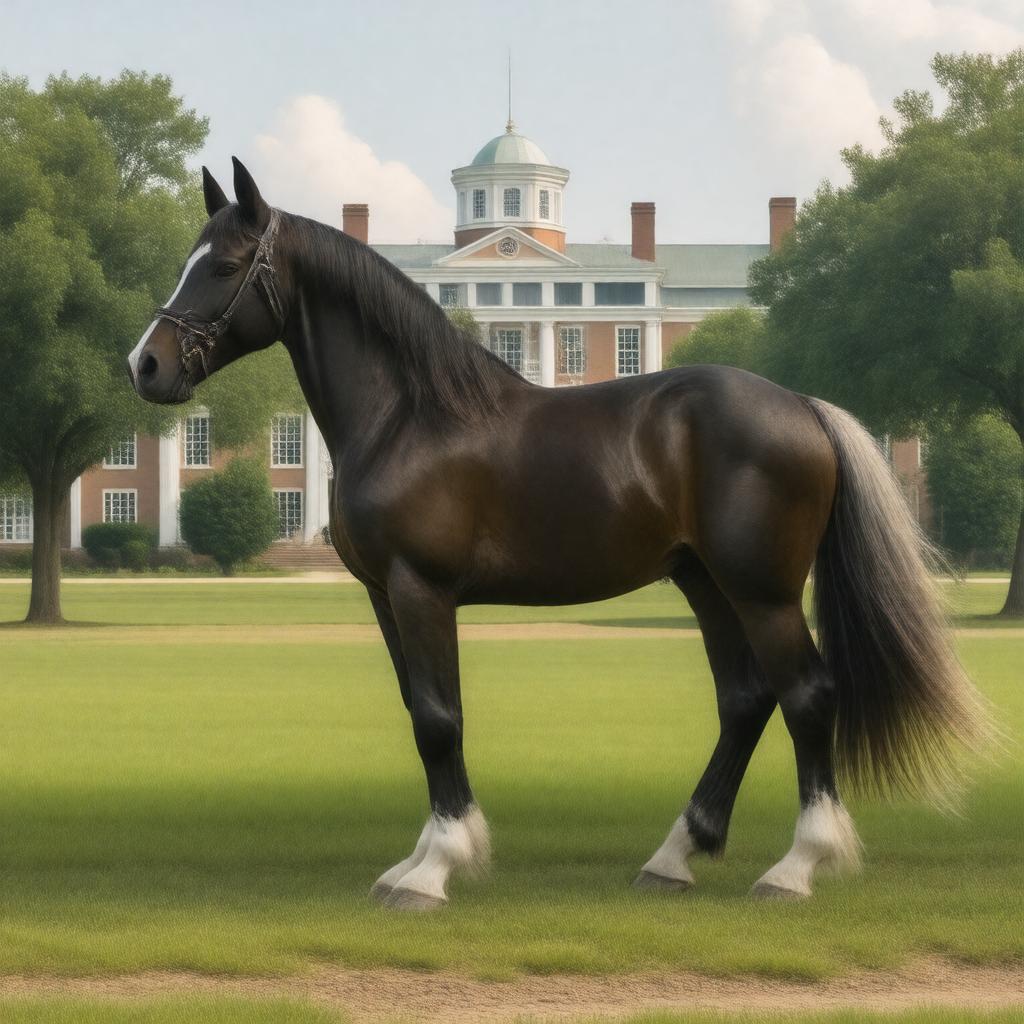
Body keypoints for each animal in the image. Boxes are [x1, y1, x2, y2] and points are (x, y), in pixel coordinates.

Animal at [128, 158, 987, 911]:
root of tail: (803, 405)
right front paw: (420, 856)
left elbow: (440, 718)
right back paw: (676, 855)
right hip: (705, 581)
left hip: (763, 591)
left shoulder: (420, 588)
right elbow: (420, 713)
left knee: (806, 694)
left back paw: (796, 866)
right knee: (745, 700)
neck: (410, 414)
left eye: (225, 265)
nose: (146, 364)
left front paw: (435, 868)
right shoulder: (383, 595)